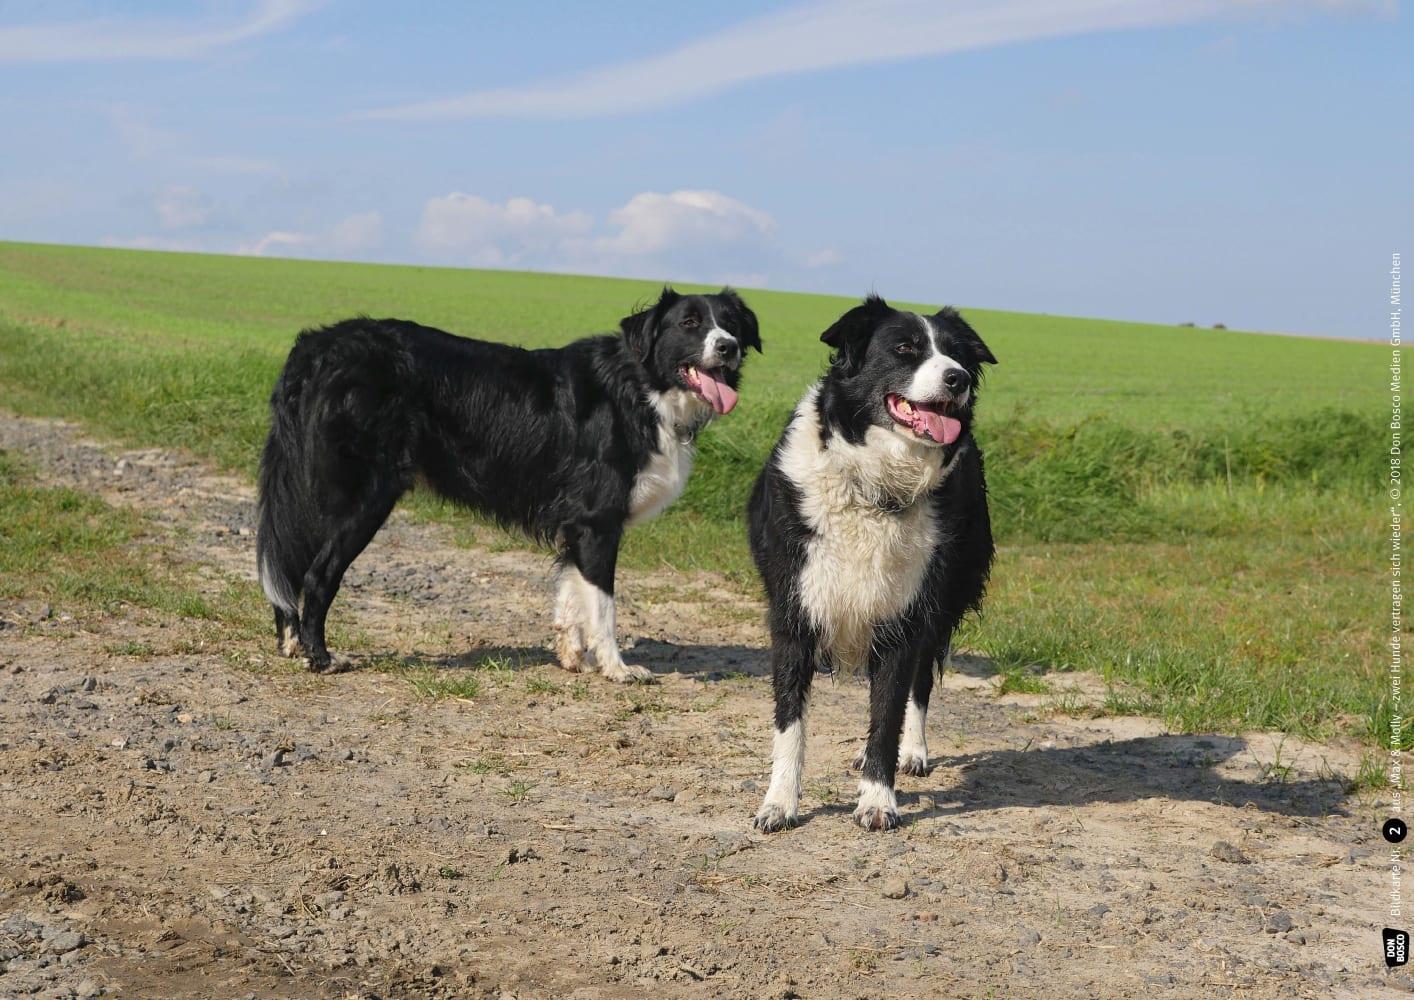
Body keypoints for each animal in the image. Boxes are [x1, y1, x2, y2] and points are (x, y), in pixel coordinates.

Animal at [752, 297, 995, 837]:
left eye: (956, 354)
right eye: (905, 348)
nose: (958, 380)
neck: (874, 487)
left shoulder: (903, 617)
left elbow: (887, 715)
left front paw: (879, 801)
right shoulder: (794, 614)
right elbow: (789, 722)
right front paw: (778, 804)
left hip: (943, 598)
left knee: (920, 685)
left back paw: (913, 751)